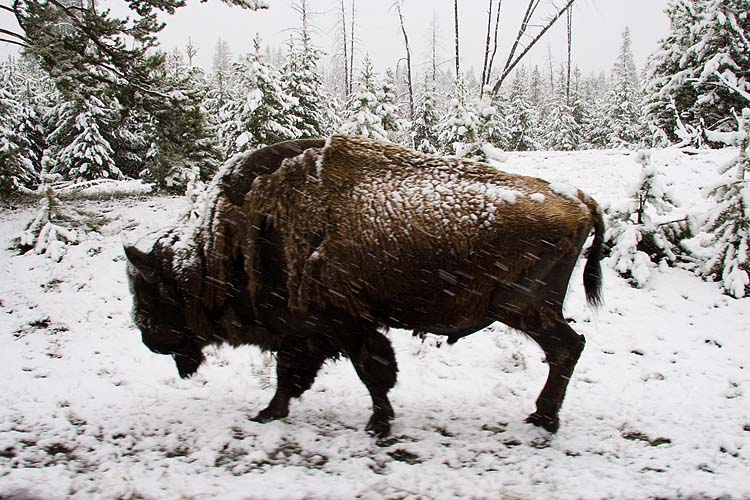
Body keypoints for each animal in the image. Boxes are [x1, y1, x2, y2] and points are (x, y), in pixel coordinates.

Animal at [123, 135, 604, 436]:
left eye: (154, 290)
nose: (149, 338)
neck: (231, 242)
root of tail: (583, 199)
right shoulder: (308, 333)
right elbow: (292, 375)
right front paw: (268, 414)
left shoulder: (344, 326)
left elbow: (370, 373)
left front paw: (378, 425)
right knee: (569, 348)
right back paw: (542, 417)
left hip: (523, 309)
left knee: (567, 348)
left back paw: (543, 419)